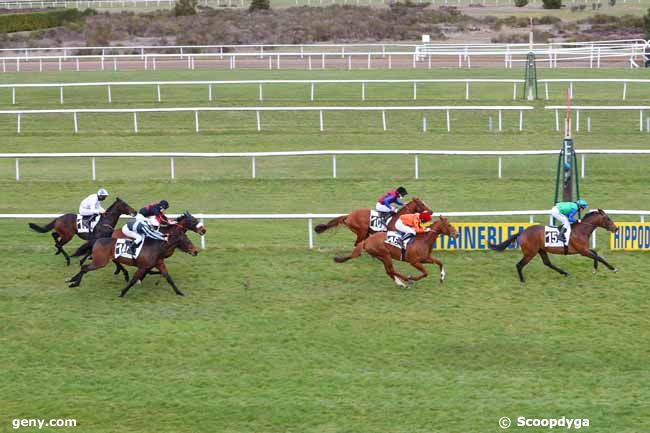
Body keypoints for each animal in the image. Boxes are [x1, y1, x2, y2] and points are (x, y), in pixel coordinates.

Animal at [66, 223, 199, 296]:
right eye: (187, 241)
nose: (195, 251)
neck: (157, 247)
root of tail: (97, 240)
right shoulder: (143, 267)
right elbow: (134, 280)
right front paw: (122, 293)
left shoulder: (159, 264)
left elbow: (168, 278)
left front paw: (179, 292)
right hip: (100, 262)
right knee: (85, 268)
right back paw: (74, 283)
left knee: (85, 268)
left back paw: (73, 281)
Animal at [486, 208, 616, 282]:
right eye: (608, 219)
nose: (616, 228)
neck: (581, 230)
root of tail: (523, 232)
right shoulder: (582, 251)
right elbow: (598, 256)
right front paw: (612, 268)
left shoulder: (584, 249)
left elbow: (596, 254)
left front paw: (595, 269)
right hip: (530, 253)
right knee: (519, 265)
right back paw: (522, 280)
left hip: (541, 250)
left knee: (547, 263)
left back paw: (564, 273)